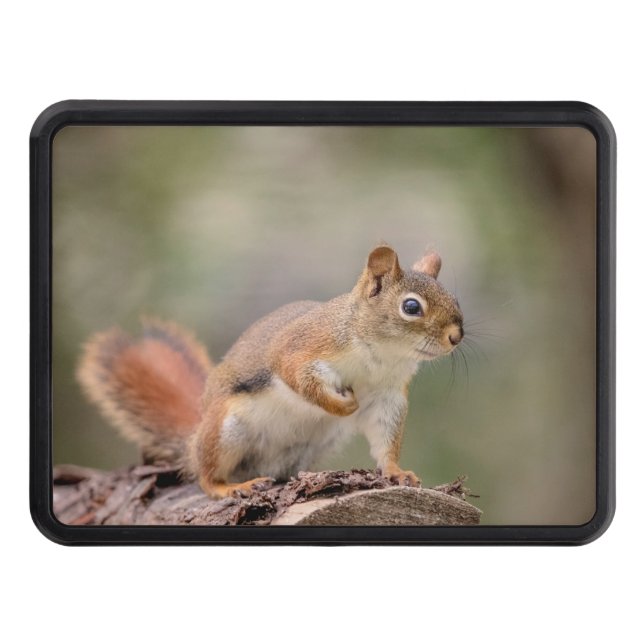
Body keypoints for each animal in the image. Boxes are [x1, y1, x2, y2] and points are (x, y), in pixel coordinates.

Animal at [77, 245, 464, 498]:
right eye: (411, 307)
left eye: (455, 300)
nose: (456, 336)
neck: (382, 354)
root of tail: (193, 437)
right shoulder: (301, 347)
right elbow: (300, 379)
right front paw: (342, 405)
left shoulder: (387, 396)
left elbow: (385, 438)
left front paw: (397, 472)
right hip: (225, 430)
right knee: (206, 475)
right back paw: (231, 487)